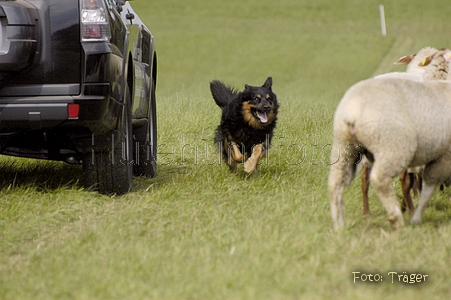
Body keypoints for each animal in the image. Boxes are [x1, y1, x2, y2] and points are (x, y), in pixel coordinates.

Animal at [328, 48, 451, 230]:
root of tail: (354, 110)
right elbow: (426, 185)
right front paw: (416, 214)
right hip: (395, 147)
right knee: (381, 180)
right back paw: (398, 216)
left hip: (345, 147)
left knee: (340, 182)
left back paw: (344, 222)